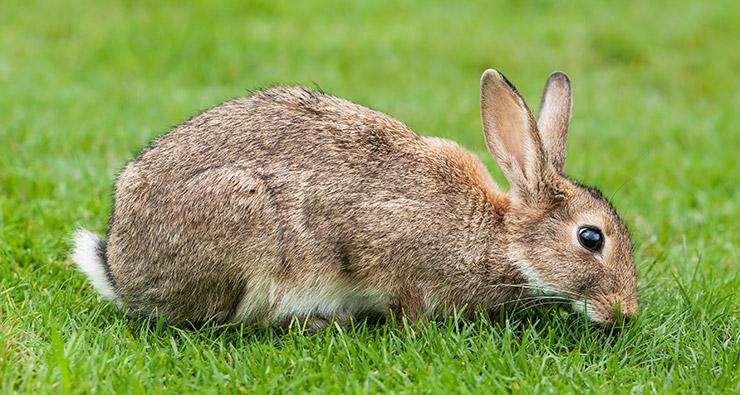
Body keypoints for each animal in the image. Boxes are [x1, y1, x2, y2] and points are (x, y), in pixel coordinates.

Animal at [72, 69, 636, 330]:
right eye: (591, 238)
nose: (626, 312)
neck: (501, 238)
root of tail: (119, 267)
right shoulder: (384, 246)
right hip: (246, 229)